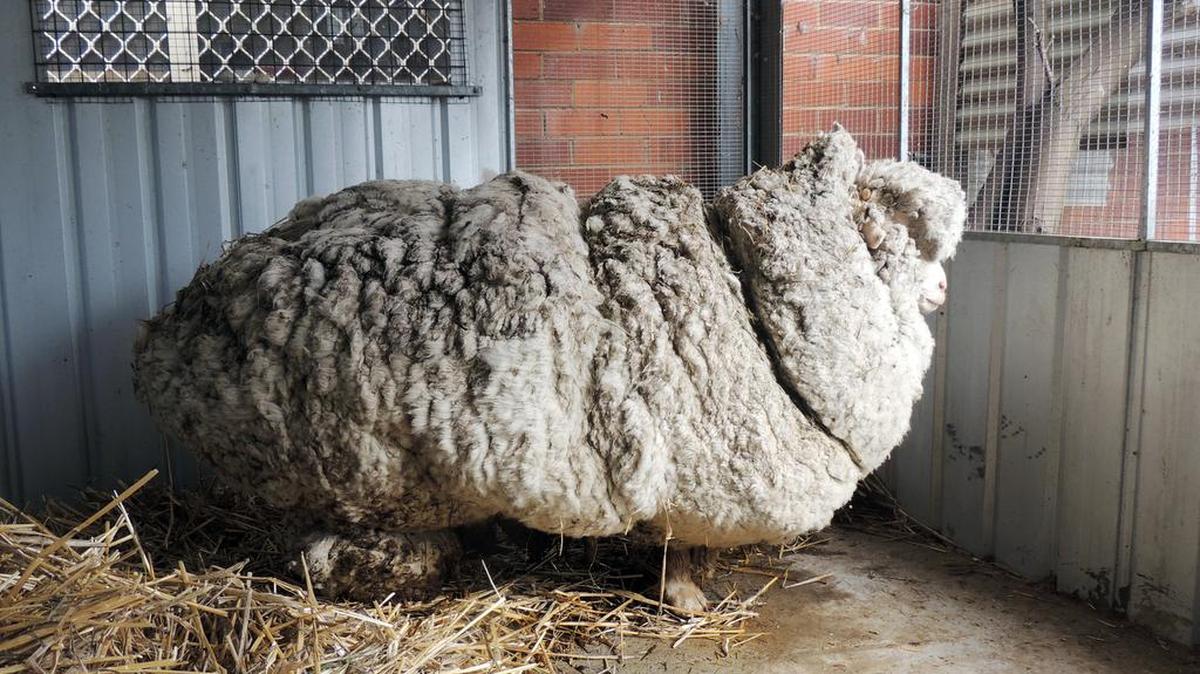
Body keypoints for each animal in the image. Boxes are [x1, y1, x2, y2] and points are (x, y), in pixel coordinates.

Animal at [132, 126, 965, 610]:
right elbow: (680, 552)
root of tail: (168, 332)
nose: (946, 291)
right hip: (349, 467)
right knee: (323, 555)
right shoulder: (693, 482)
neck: (741, 290)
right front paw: (687, 600)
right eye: (904, 226)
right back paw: (406, 569)